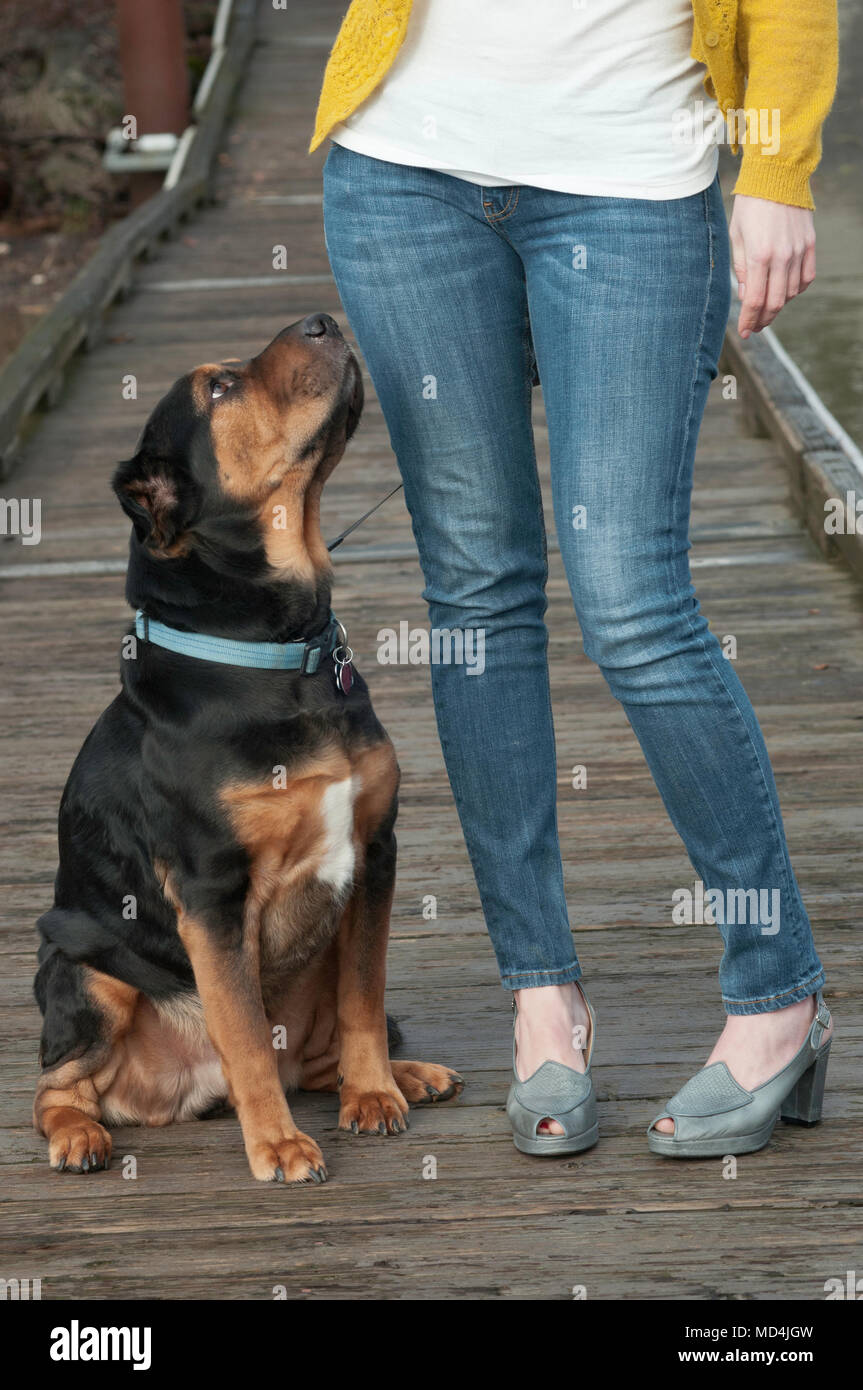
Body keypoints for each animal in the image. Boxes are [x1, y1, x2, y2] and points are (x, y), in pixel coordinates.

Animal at [32, 318, 461, 1184]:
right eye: (220, 387)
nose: (321, 319)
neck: (277, 652)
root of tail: (183, 1093)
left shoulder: (373, 851)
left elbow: (365, 999)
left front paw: (374, 1095)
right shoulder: (211, 892)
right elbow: (242, 1031)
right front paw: (281, 1146)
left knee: (314, 1053)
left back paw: (406, 1075)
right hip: (82, 970)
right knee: (54, 1086)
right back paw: (79, 1136)